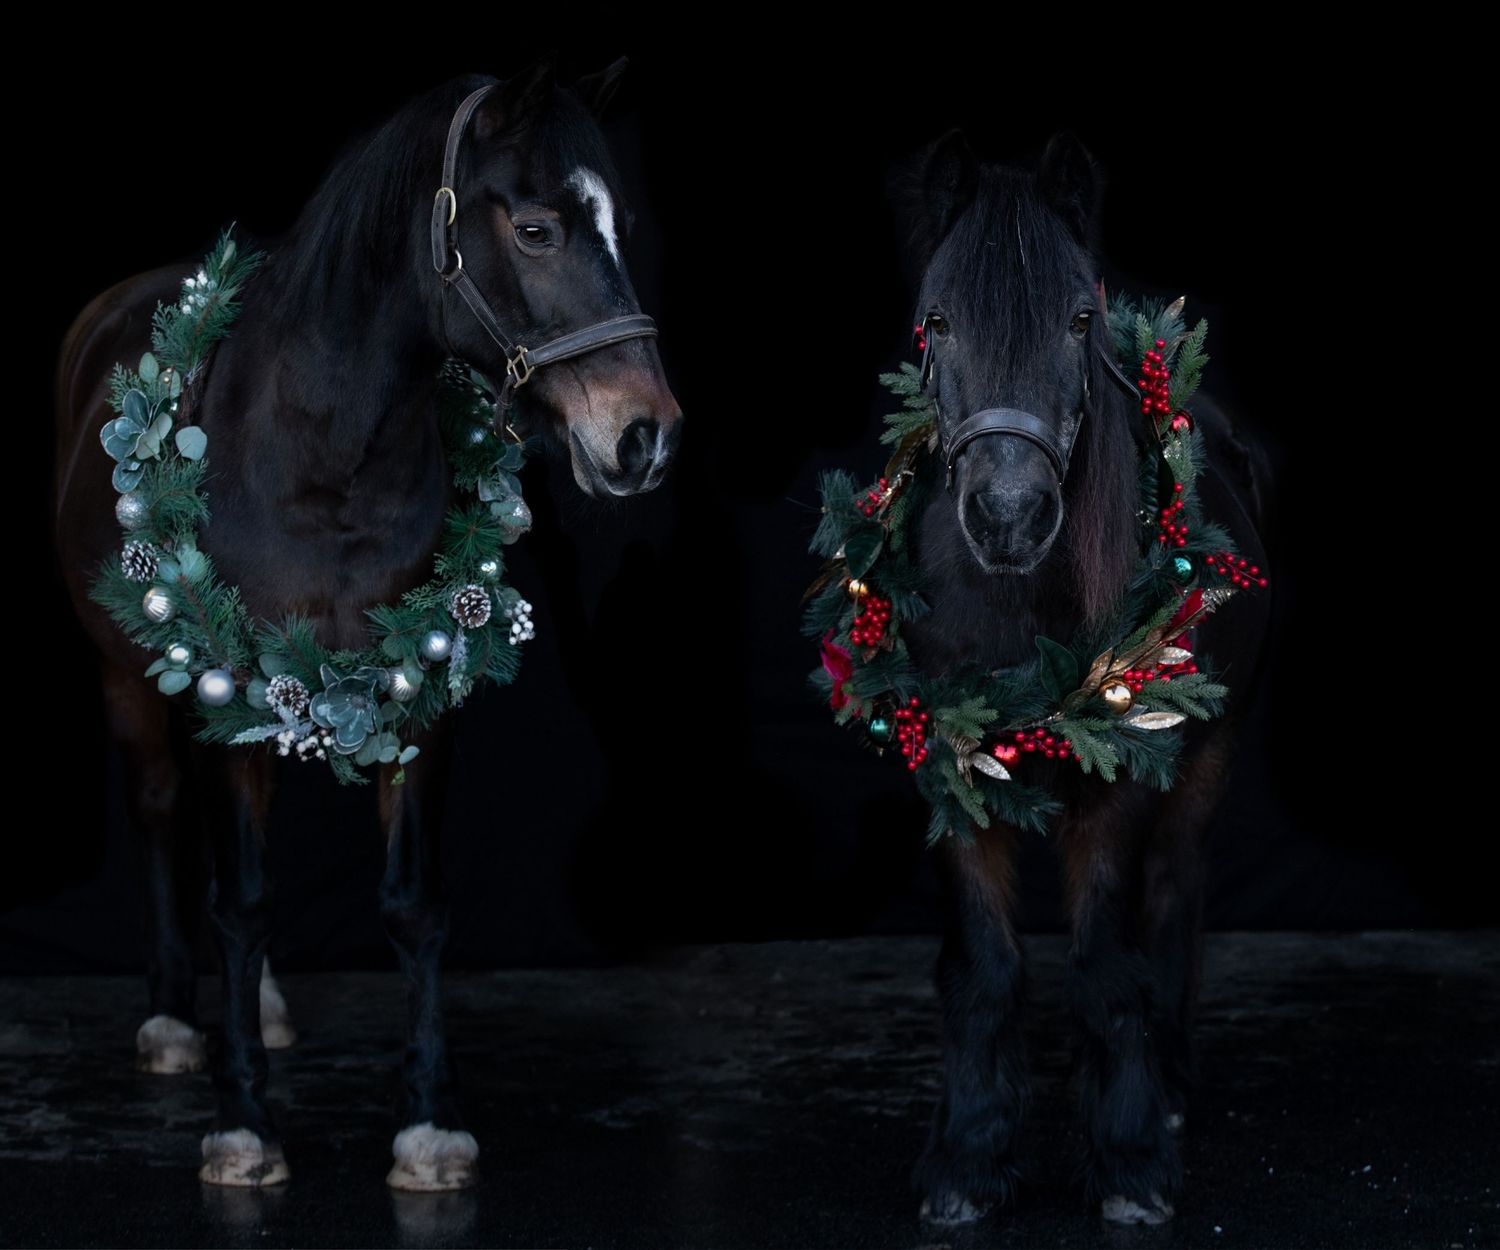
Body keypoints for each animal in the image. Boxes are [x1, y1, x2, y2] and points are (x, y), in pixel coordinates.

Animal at [51, 60, 681, 1190]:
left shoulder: (418, 688)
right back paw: (172, 1018)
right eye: (535, 229)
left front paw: (429, 1121)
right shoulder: (218, 689)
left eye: (621, 224)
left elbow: (410, 904)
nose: (644, 435)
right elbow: (243, 900)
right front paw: (243, 1123)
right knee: (167, 819)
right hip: (141, 683)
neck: (320, 453)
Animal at [891, 131, 1273, 1225]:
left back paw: (1170, 1082)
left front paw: (1133, 1158)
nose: (1010, 515)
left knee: (1174, 892)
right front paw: (966, 1160)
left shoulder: (1125, 778)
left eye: (1079, 318)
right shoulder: (948, 764)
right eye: (937, 320)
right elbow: (984, 965)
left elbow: (1108, 962)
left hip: (1206, 758)